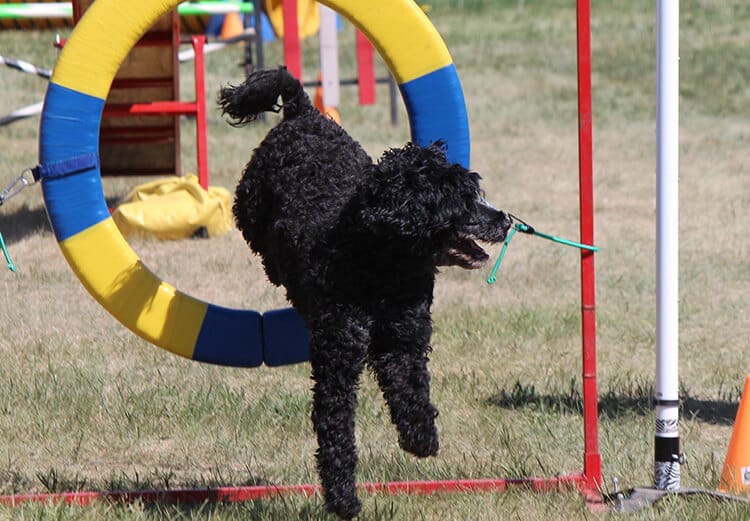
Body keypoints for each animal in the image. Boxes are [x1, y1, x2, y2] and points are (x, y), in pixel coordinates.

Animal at [217, 67, 512, 516]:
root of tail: (302, 112)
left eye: (472, 192)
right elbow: (336, 429)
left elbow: (411, 390)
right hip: (248, 207)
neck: (380, 264)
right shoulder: (338, 356)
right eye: (459, 200)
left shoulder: (402, 340)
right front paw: (343, 498)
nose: (505, 219)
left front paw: (421, 439)